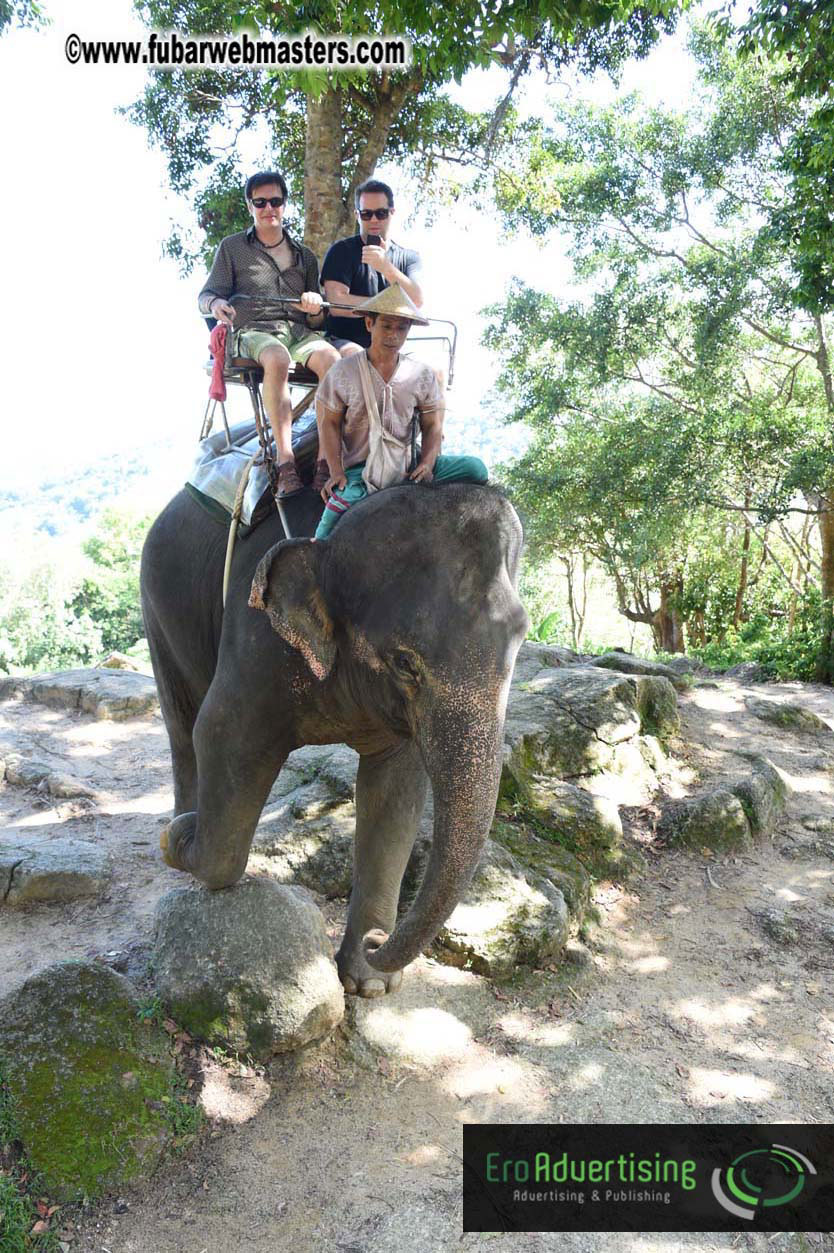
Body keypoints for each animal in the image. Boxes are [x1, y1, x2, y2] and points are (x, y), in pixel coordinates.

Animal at [140, 481, 527, 996]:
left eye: (520, 642)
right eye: (404, 662)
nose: (379, 941)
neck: (332, 541)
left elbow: (395, 790)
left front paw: (368, 984)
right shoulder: (256, 636)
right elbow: (222, 735)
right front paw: (181, 838)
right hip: (155, 600)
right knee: (183, 726)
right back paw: (181, 823)